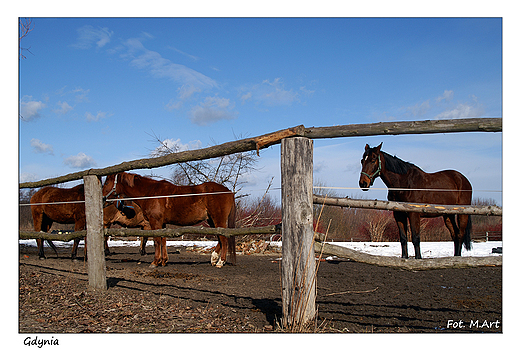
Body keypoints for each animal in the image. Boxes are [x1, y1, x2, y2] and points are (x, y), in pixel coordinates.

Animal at [101, 172, 236, 268]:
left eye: (107, 182)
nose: (102, 199)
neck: (151, 193)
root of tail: (228, 191)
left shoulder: (155, 222)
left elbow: (156, 241)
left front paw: (155, 262)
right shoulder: (162, 223)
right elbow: (163, 240)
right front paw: (164, 261)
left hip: (218, 219)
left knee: (224, 239)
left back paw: (220, 262)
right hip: (211, 221)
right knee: (220, 238)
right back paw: (214, 258)